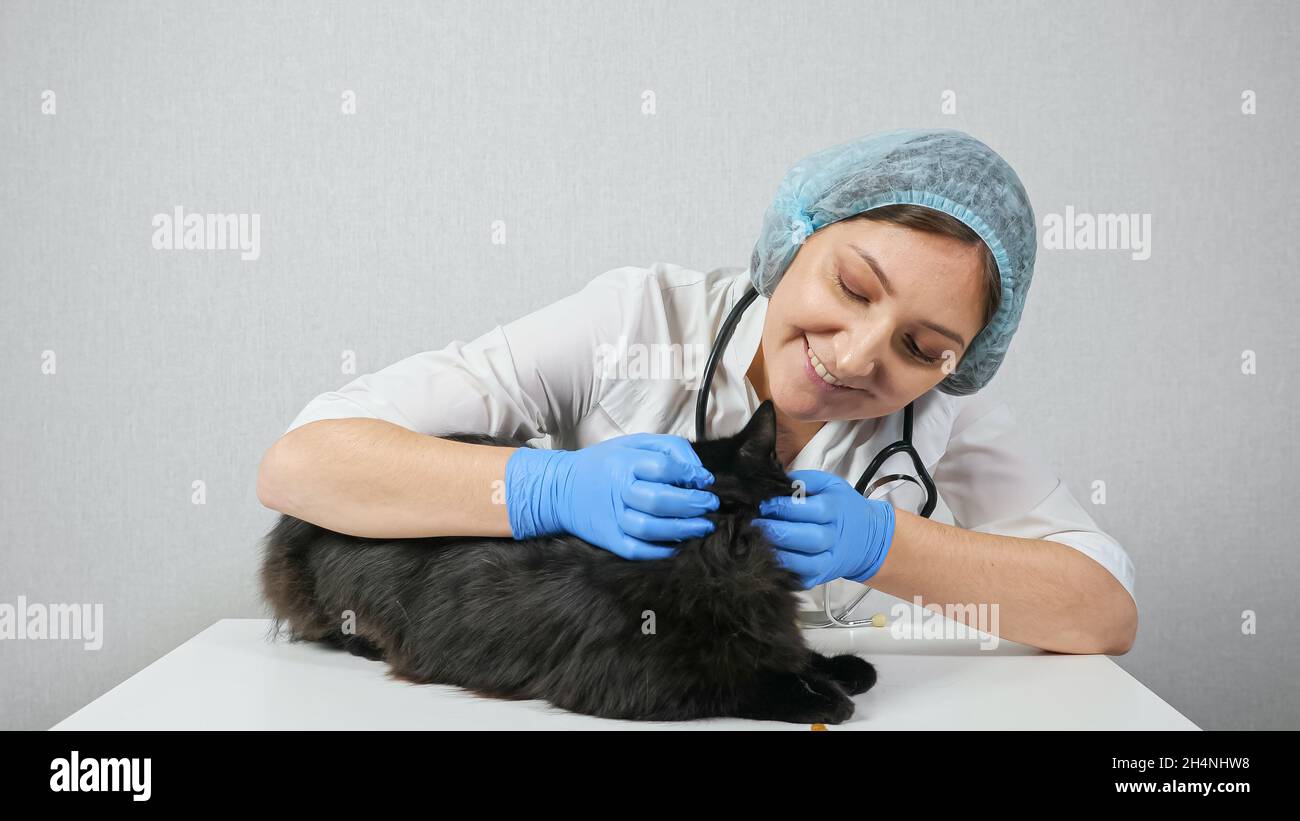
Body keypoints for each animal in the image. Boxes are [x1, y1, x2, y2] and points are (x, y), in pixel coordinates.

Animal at [258, 397, 878, 722]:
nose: (728, 549)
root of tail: (293, 527)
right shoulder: (637, 679)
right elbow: (744, 680)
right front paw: (820, 696)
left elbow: (797, 652)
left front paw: (843, 668)